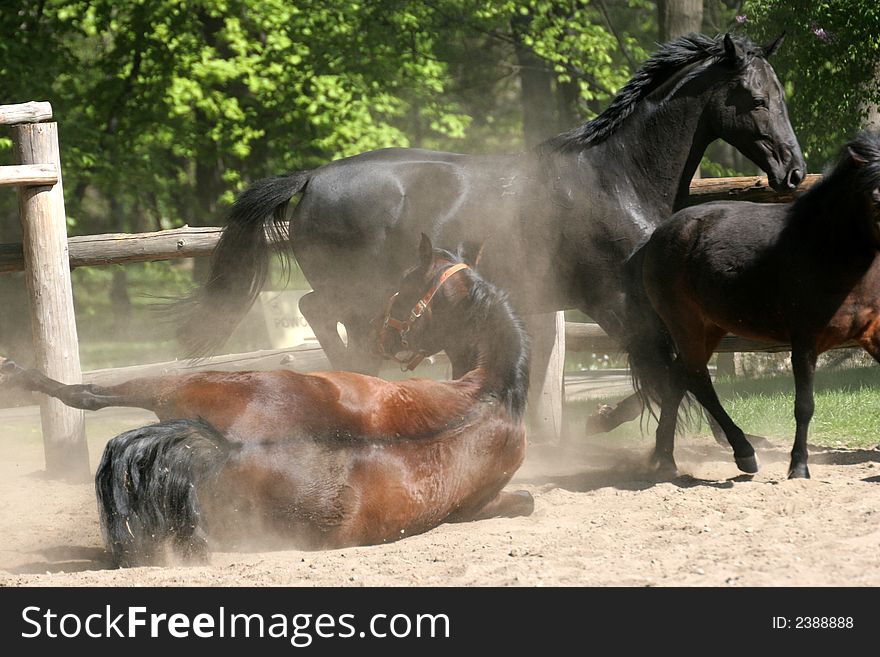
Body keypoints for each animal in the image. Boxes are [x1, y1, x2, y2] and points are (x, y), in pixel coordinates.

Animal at [174, 33, 804, 438]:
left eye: (782, 95)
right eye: (755, 99)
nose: (793, 171)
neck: (616, 178)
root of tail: (312, 178)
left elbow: (670, 369)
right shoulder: (613, 301)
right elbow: (663, 372)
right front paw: (610, 423)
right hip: (360, 292)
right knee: (315, 309)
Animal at [628, 131, 880, 476]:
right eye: (875, 197)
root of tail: (657, 235)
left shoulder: (873, 333)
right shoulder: (804, 340)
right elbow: (804, 405)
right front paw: (798, 467)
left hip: (711, 327)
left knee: (679, 377)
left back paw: (665, 458)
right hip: (685, 322)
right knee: (697, 378)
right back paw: (743, 453)